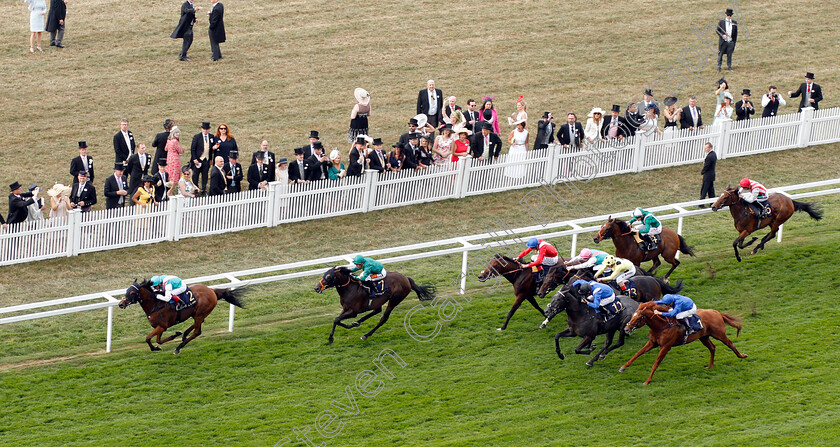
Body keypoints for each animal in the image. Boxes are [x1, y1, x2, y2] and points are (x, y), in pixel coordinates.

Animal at [117, 278, 246, 356]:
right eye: (126, 291)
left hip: (200, 313)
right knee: (197, 325)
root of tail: (211, 290)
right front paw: (175, 335)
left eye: (132, 293)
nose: (121, 304)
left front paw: (155, 348)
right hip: (198, 314)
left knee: (197, 331)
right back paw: (183, 335)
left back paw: (179, 347)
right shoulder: (161, 326)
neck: (155, 304)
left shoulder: (162, 326)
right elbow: (159, 340)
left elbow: (148, 338)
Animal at [616, 300, 748, 384]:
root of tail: (716, 312)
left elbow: (656, 363)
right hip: (703, 337)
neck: (663, 325)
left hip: (719, 334)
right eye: (632, 315)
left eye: (638, 318)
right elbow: (637, 354)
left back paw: (741, 356)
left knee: (729, 343)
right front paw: (623, 367)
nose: (626, 329)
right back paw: (710, 366)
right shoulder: (652, 343)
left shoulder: (665, 346)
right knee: (712, 347)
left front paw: (648, 380)